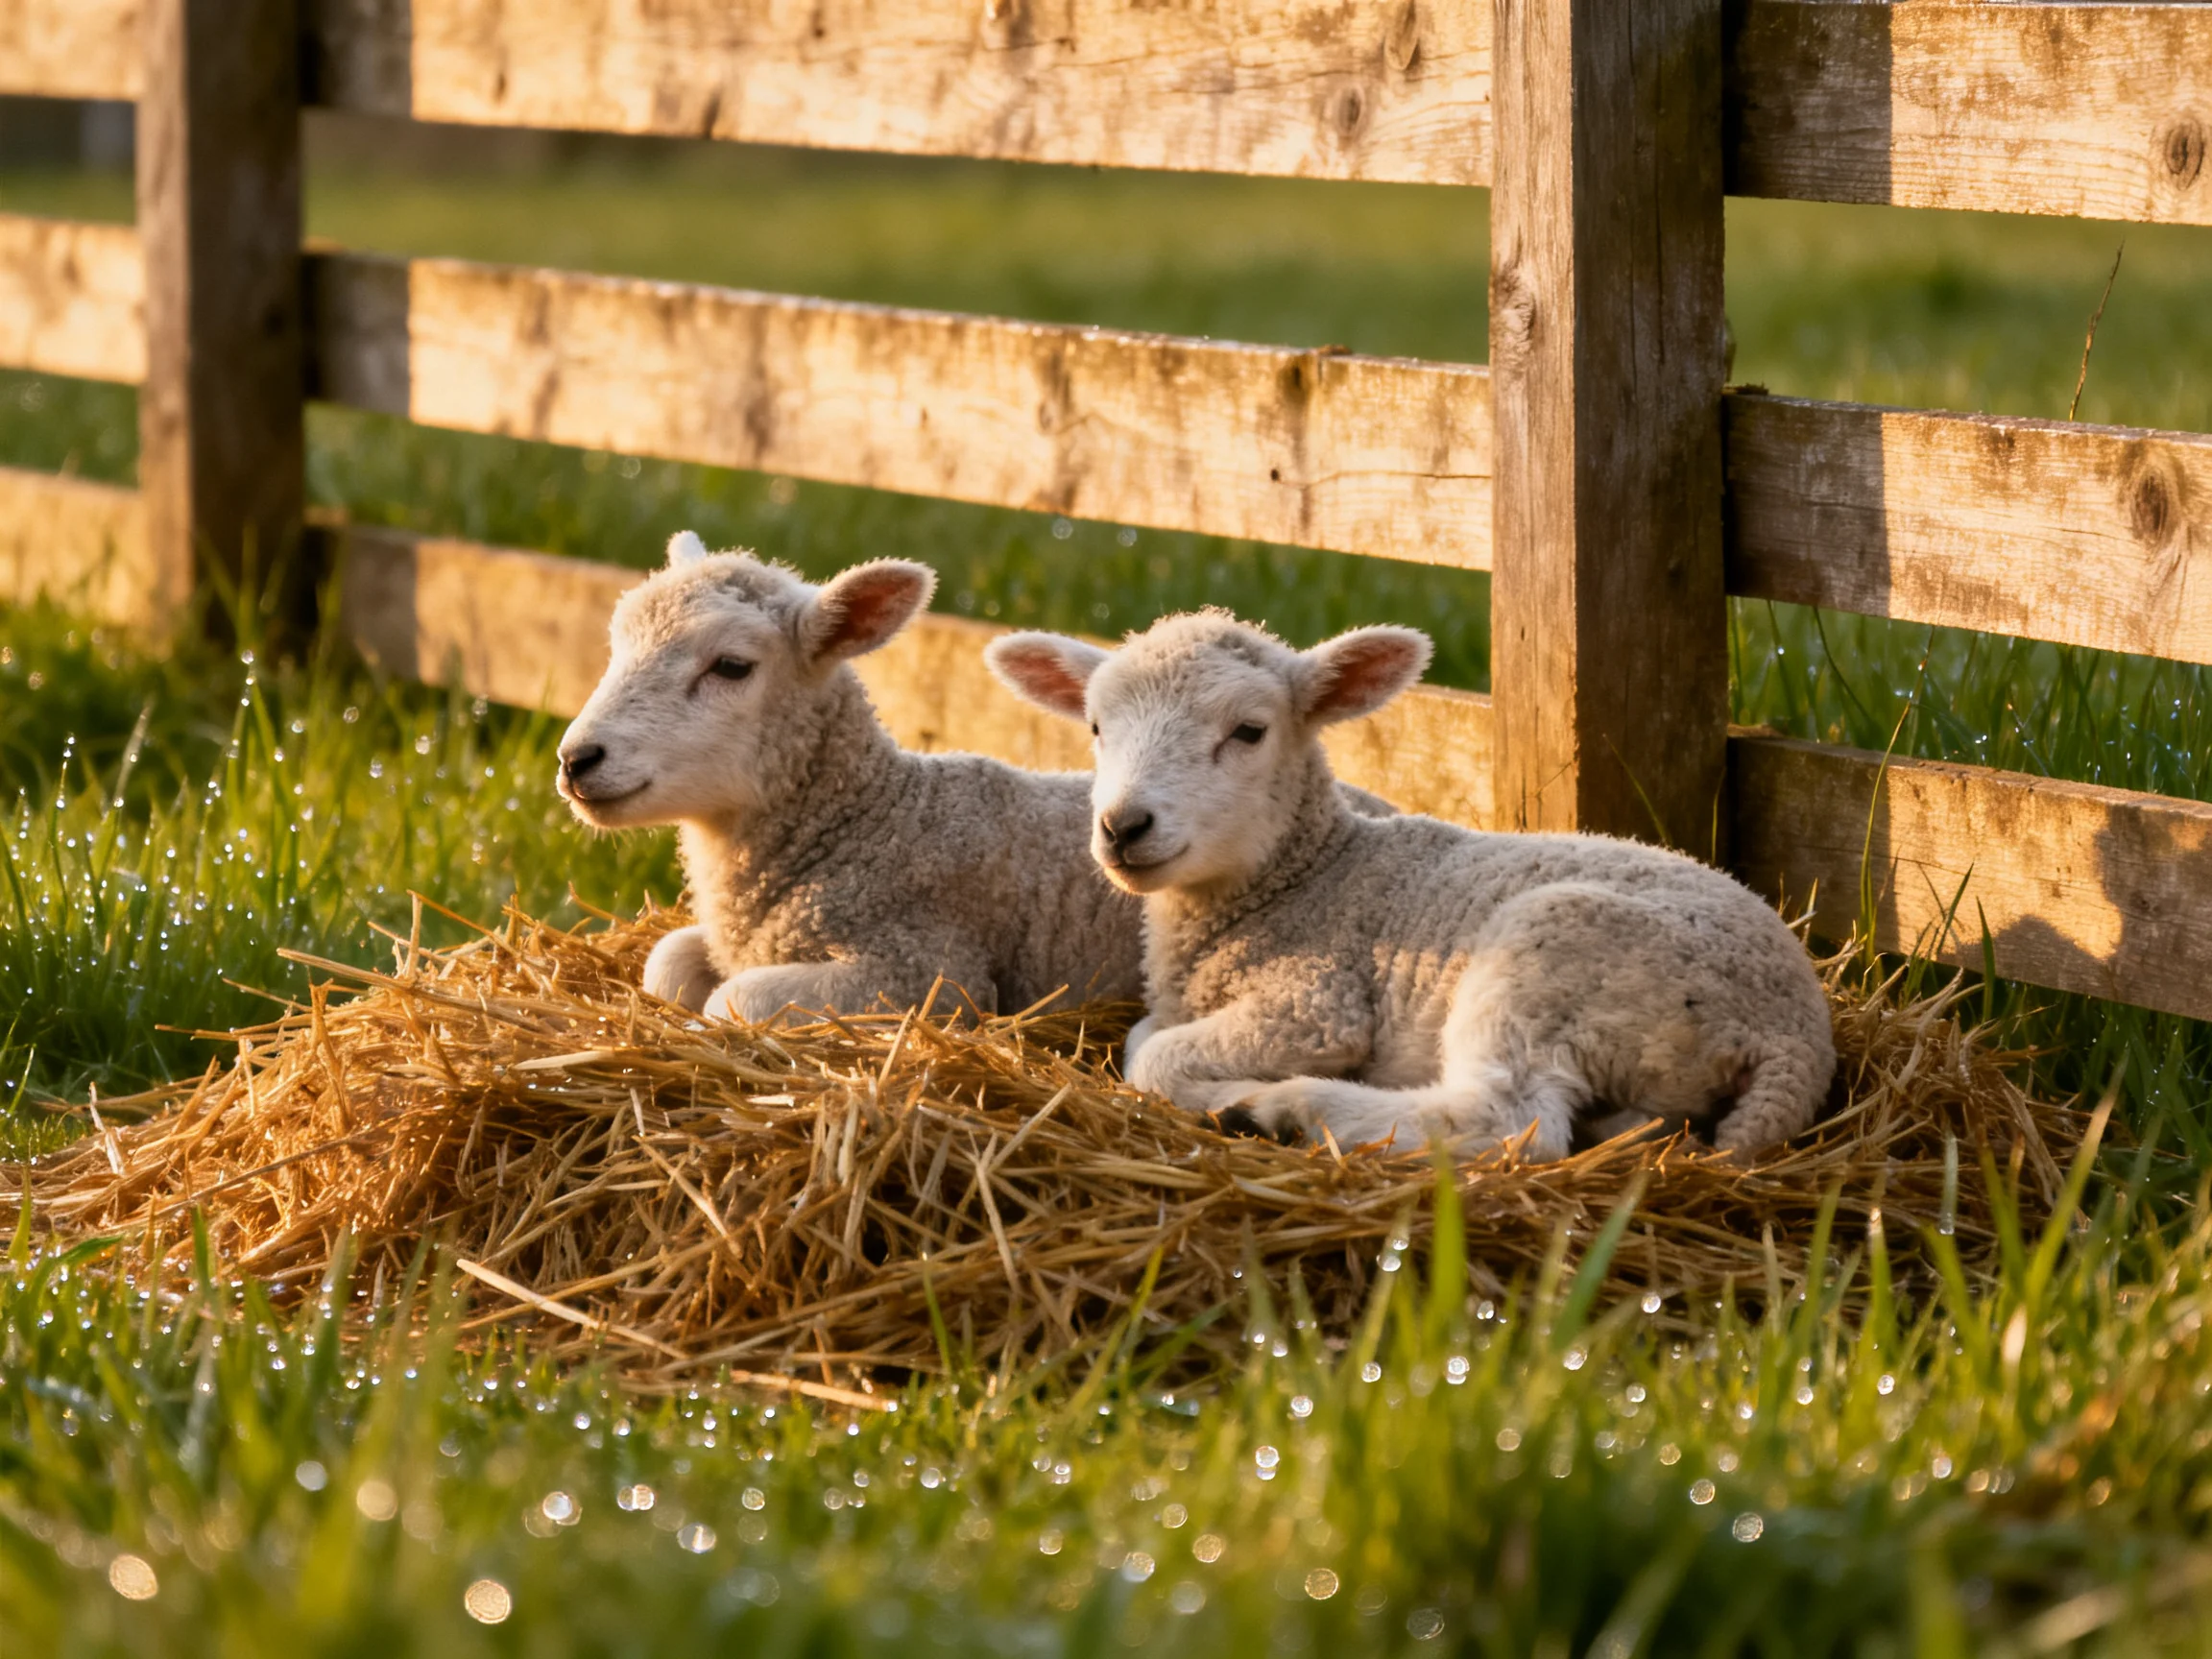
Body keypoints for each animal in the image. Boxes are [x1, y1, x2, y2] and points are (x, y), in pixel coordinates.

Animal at [555, 533, 1150, 1023]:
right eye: (617, 645)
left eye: (731, 666)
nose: (576, 759)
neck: (870, 822)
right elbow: (666, 959)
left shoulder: (928, 971)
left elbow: (733, 998)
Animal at [986, 610, 1836, 1161]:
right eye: (1096, 727)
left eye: (1249, 731)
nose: (1123, 826)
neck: (1308, 875)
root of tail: (1795, 1036)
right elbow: (1143, 1035)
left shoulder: (1315, 1004)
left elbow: (1150, 1057)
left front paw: (1220, 1090)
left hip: (1553, 957)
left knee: (1506, 1123)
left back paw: (1281, 1110)